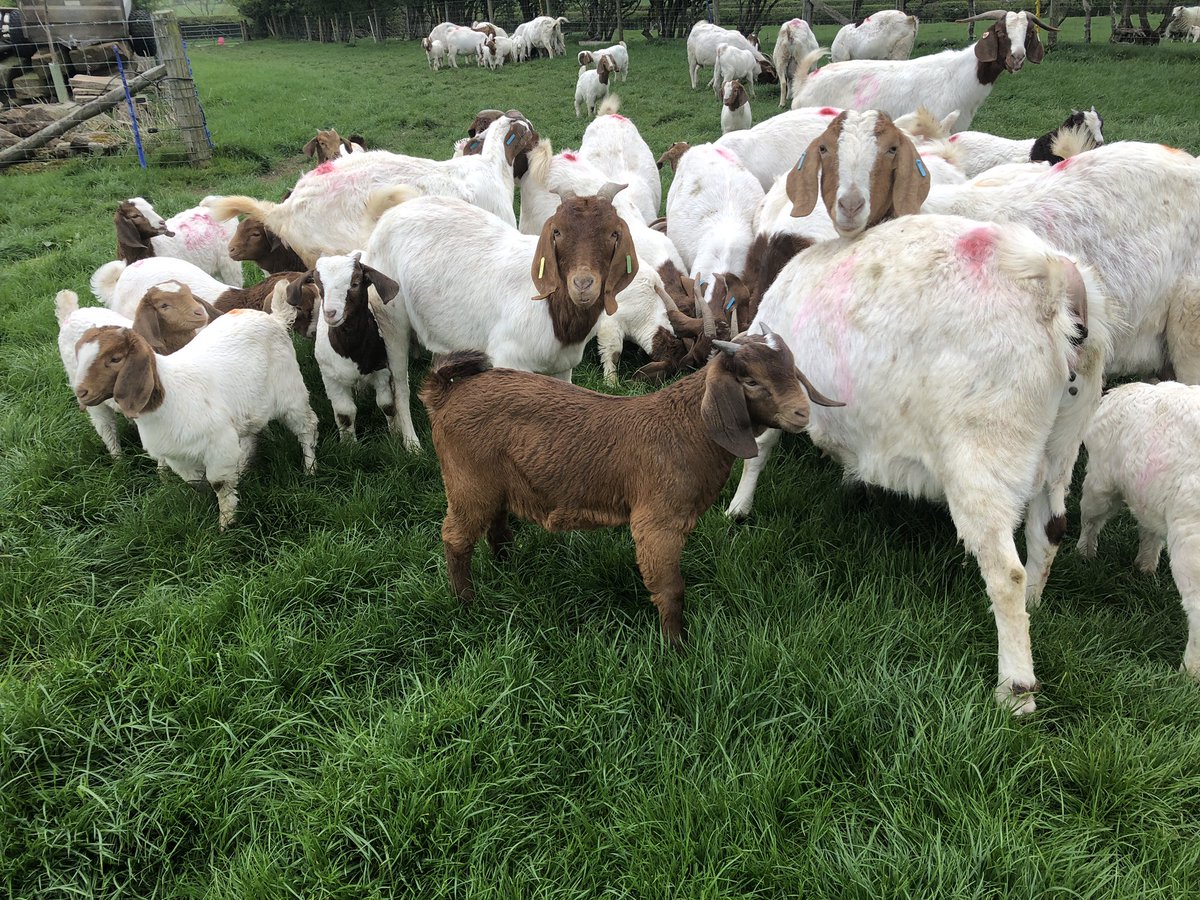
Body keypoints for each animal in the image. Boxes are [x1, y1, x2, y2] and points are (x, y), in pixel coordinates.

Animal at [420, 332, 835, 645]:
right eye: (750, 380)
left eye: (791, 370)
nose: (801, 414)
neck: (688, 428)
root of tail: (444, 394)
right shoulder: (658, 523)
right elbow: (670, 589)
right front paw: (677, 648)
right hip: (467, 482)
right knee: (455, 538)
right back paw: (466, 602)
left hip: (496, 483)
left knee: (497, 525)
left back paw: (507, 564)